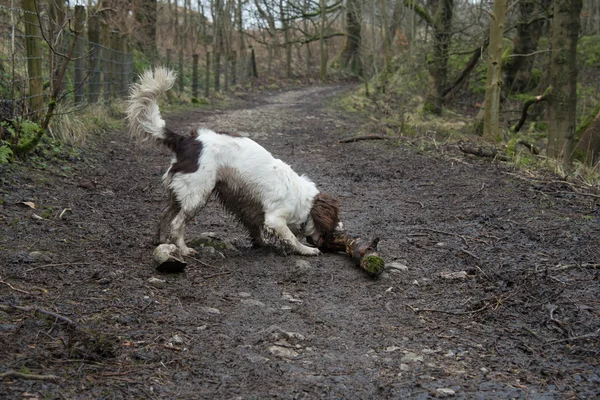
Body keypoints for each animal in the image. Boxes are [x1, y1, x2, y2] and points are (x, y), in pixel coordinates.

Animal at [125, 67, 342, 256]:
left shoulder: (251, 208)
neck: (304, 201)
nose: (326, 246)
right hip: (197, 194)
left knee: (164, 216)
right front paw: (307, 250)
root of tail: (187, 140)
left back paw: (163, 243)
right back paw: (184, 250)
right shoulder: (275, 218)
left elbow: (255, 228)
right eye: (330, 231)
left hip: (180, 194)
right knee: (176, 224)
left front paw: (261, 243)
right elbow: (291, 237)